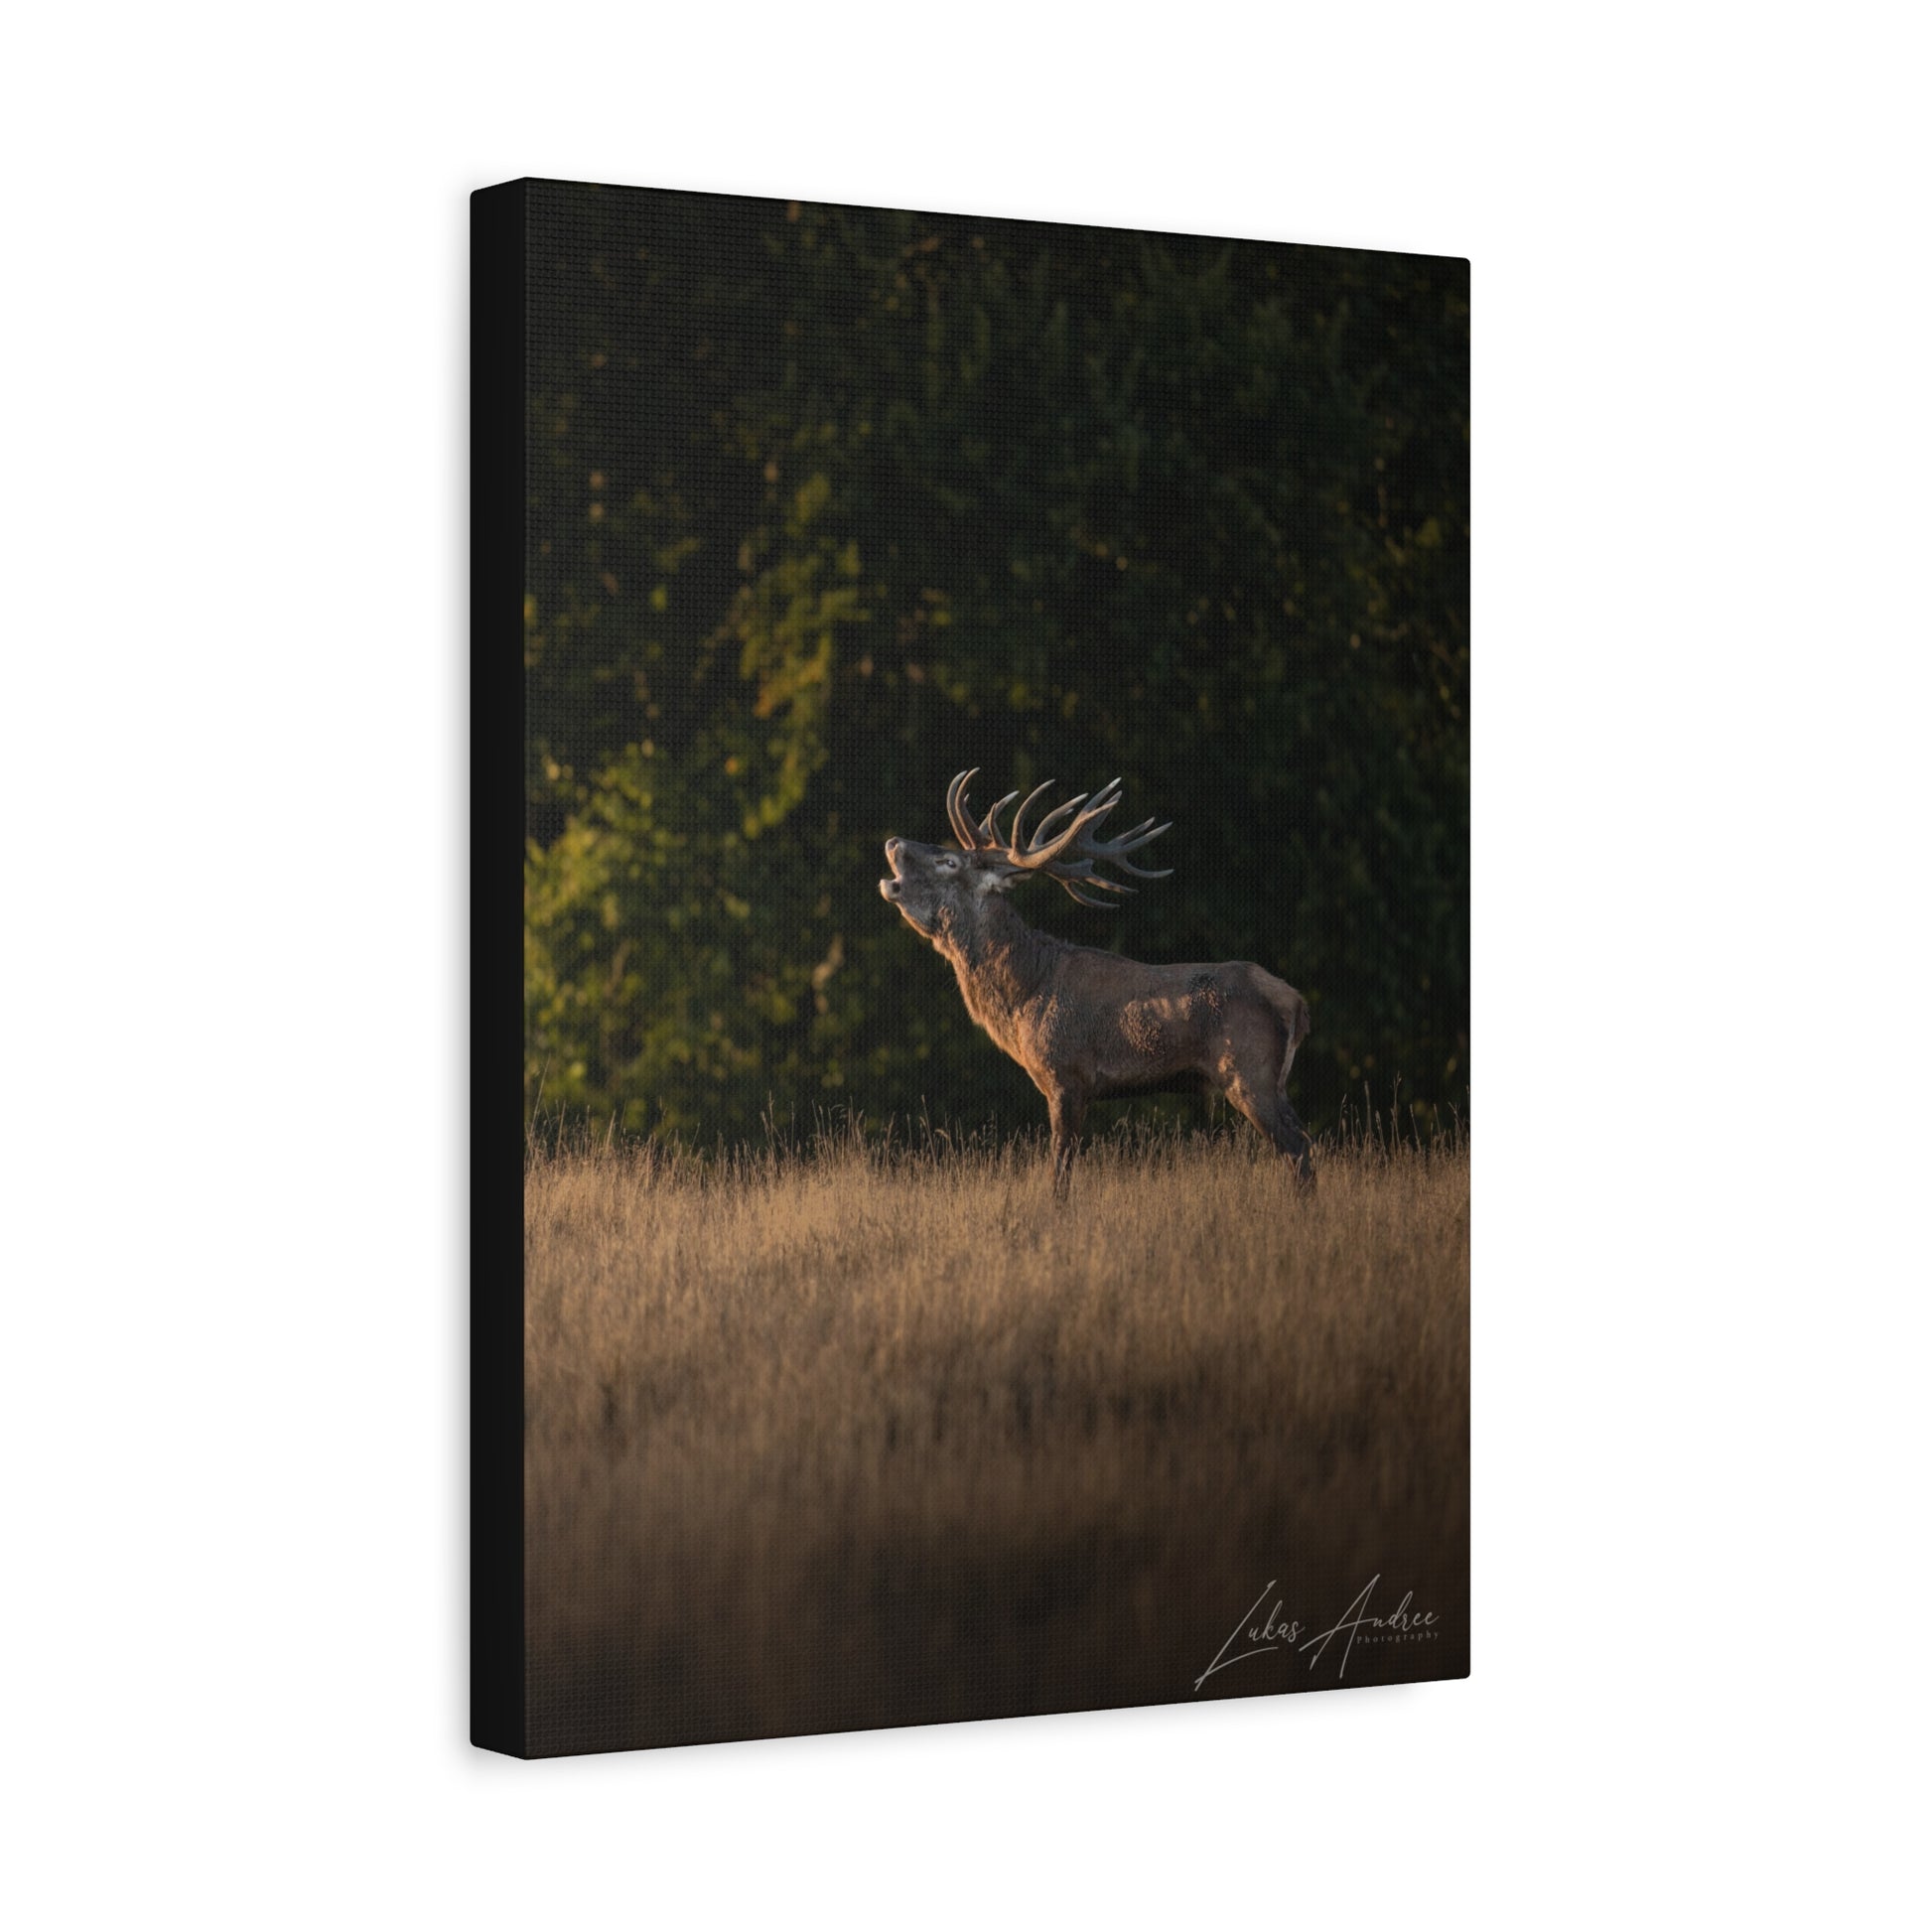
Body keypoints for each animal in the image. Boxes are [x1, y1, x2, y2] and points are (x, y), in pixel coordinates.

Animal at [879, 770, 1314, 1193]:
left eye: (948, 861)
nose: (893, 841)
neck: (1025, 995)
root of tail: (1296, 1002)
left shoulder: (1067, 1075)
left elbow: (1060, 1172)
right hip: (1274, 1080)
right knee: (1306, 1143)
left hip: (1249, 1071)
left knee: (1297, 1150)